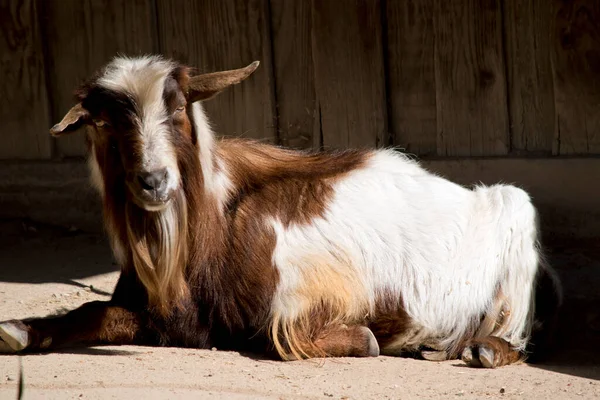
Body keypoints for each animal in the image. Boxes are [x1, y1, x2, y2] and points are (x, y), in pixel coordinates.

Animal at [1, 54, 564, 368]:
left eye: (178, 108)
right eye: (102, 122)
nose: (154, 181)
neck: (212, 225)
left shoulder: (283, 307)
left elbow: (331, 337)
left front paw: (371, 338)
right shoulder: (166, 314)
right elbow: (94, 312)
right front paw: (20, 330)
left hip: (517, 213)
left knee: (515, 332)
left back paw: (485, 349)